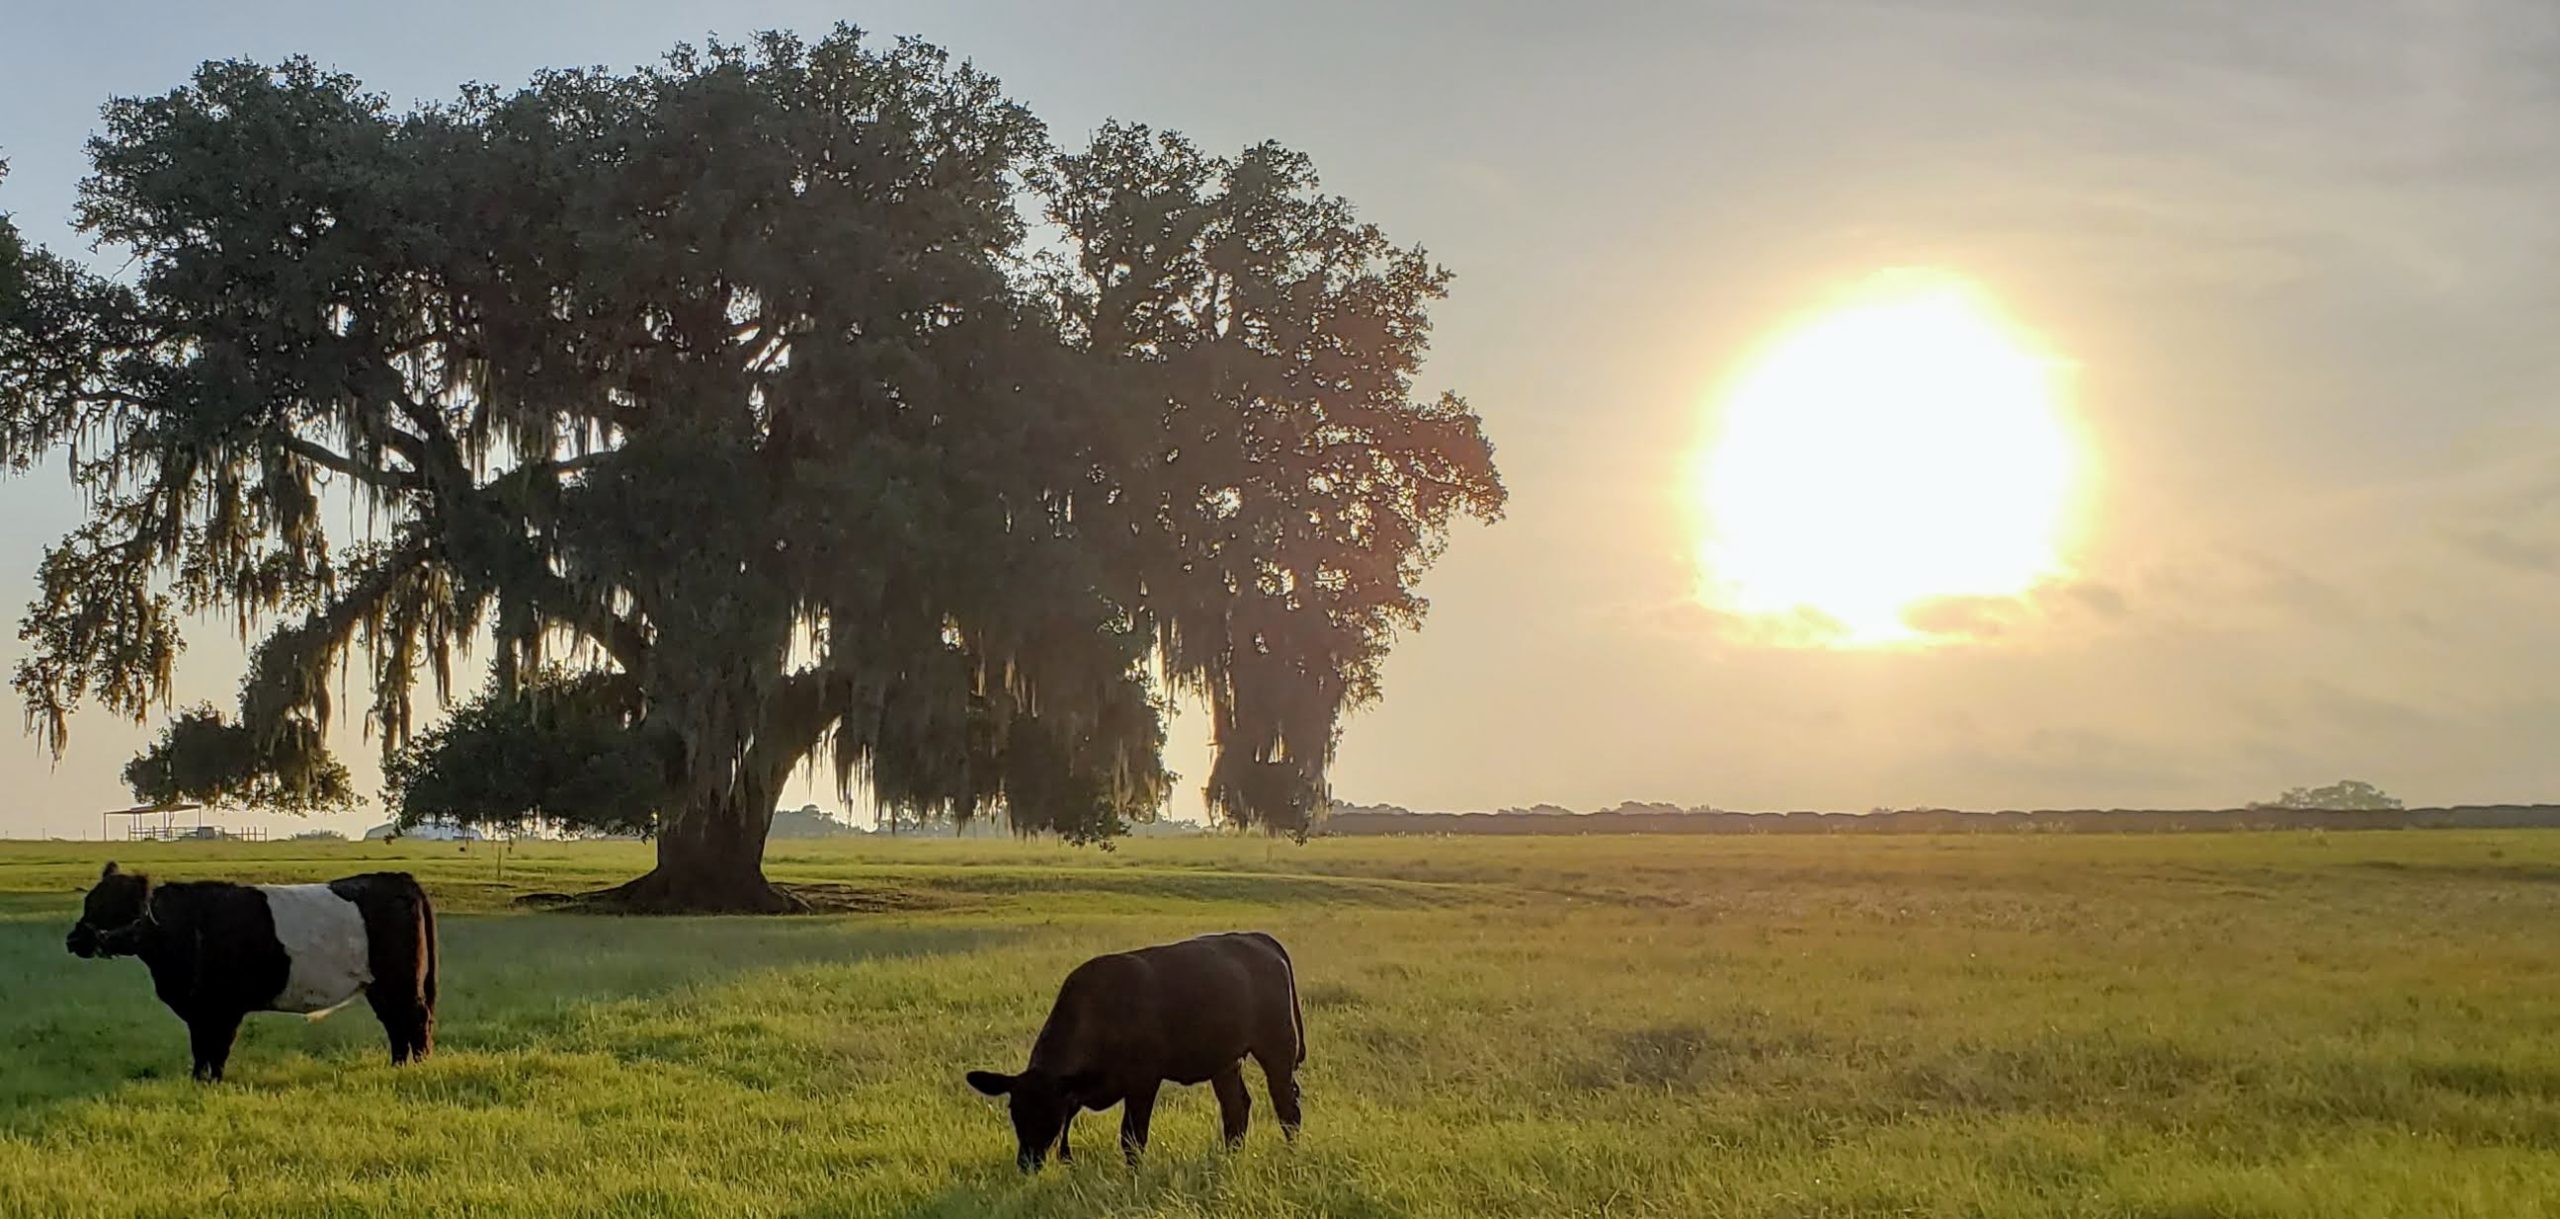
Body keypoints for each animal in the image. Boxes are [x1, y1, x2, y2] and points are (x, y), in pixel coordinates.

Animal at [62, 860, 440, 1080]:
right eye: (89, 901)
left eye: (115, 907)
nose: (74, 938)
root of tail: (399, 879)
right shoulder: (200, 1010)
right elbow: (201, 1048)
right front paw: (199, 1081)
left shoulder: (223, 1008)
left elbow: (217, 1048)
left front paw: (211, 1082)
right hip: (383, 987)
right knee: (396, 1025)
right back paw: (398, 1065)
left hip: (402, 982)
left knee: (415, 1020)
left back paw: (418, 1066)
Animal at [967, 932, 1310, 1172]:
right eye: (1014, 1111)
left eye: (1051, 1112)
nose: (1027, 1163)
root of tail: (1257, 939)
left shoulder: (1143, 1082)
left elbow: (1132, 1137)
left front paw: (1133, 1175)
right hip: (1224, 1062)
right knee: (1236, 1108)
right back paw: (1231, 1156)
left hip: (1277, 1050)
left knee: (1287, 1107)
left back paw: (1291, 1153)